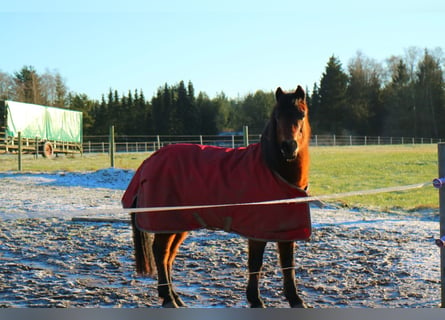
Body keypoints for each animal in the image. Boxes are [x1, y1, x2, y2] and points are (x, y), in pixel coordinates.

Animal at [121, 85, 308, 308]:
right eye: (278, 117)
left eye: (301, 114)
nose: (289, 147)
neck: (273, 170)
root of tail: (149, 161)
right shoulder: (257, 230)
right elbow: (256, 263)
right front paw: (255, 300)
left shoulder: (286, 229)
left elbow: (288, 264)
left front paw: (295, 299)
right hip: (167, 222)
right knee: (161, 252)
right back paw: (168, 298)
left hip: (178, 223)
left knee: (168, 256)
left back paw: (175, 297)